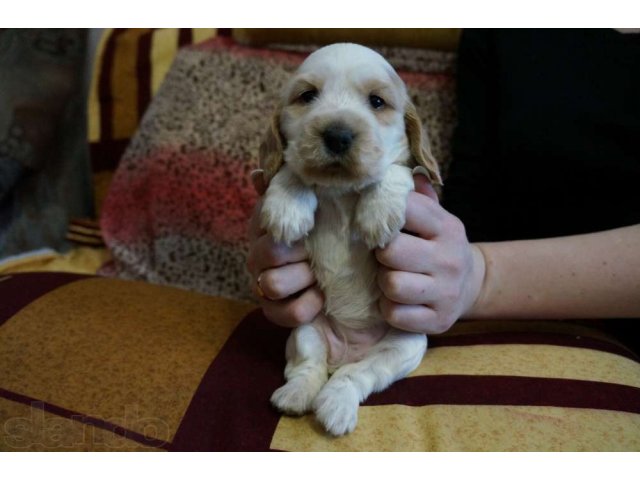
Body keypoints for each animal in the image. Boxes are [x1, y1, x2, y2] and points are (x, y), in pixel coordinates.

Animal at [258, 43, 442, 436]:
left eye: (377, 101)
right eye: (307, 96)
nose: (338, 136)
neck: (340, 191)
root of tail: (345, 352)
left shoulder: (421, 181)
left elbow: (397, 168)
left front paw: (378, 211)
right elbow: (292, 166)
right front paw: (286, 206)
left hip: (405, 345)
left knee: (355, 375)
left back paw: (336, 406)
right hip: (305, 331)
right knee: (309, 368)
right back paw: (295, 396)